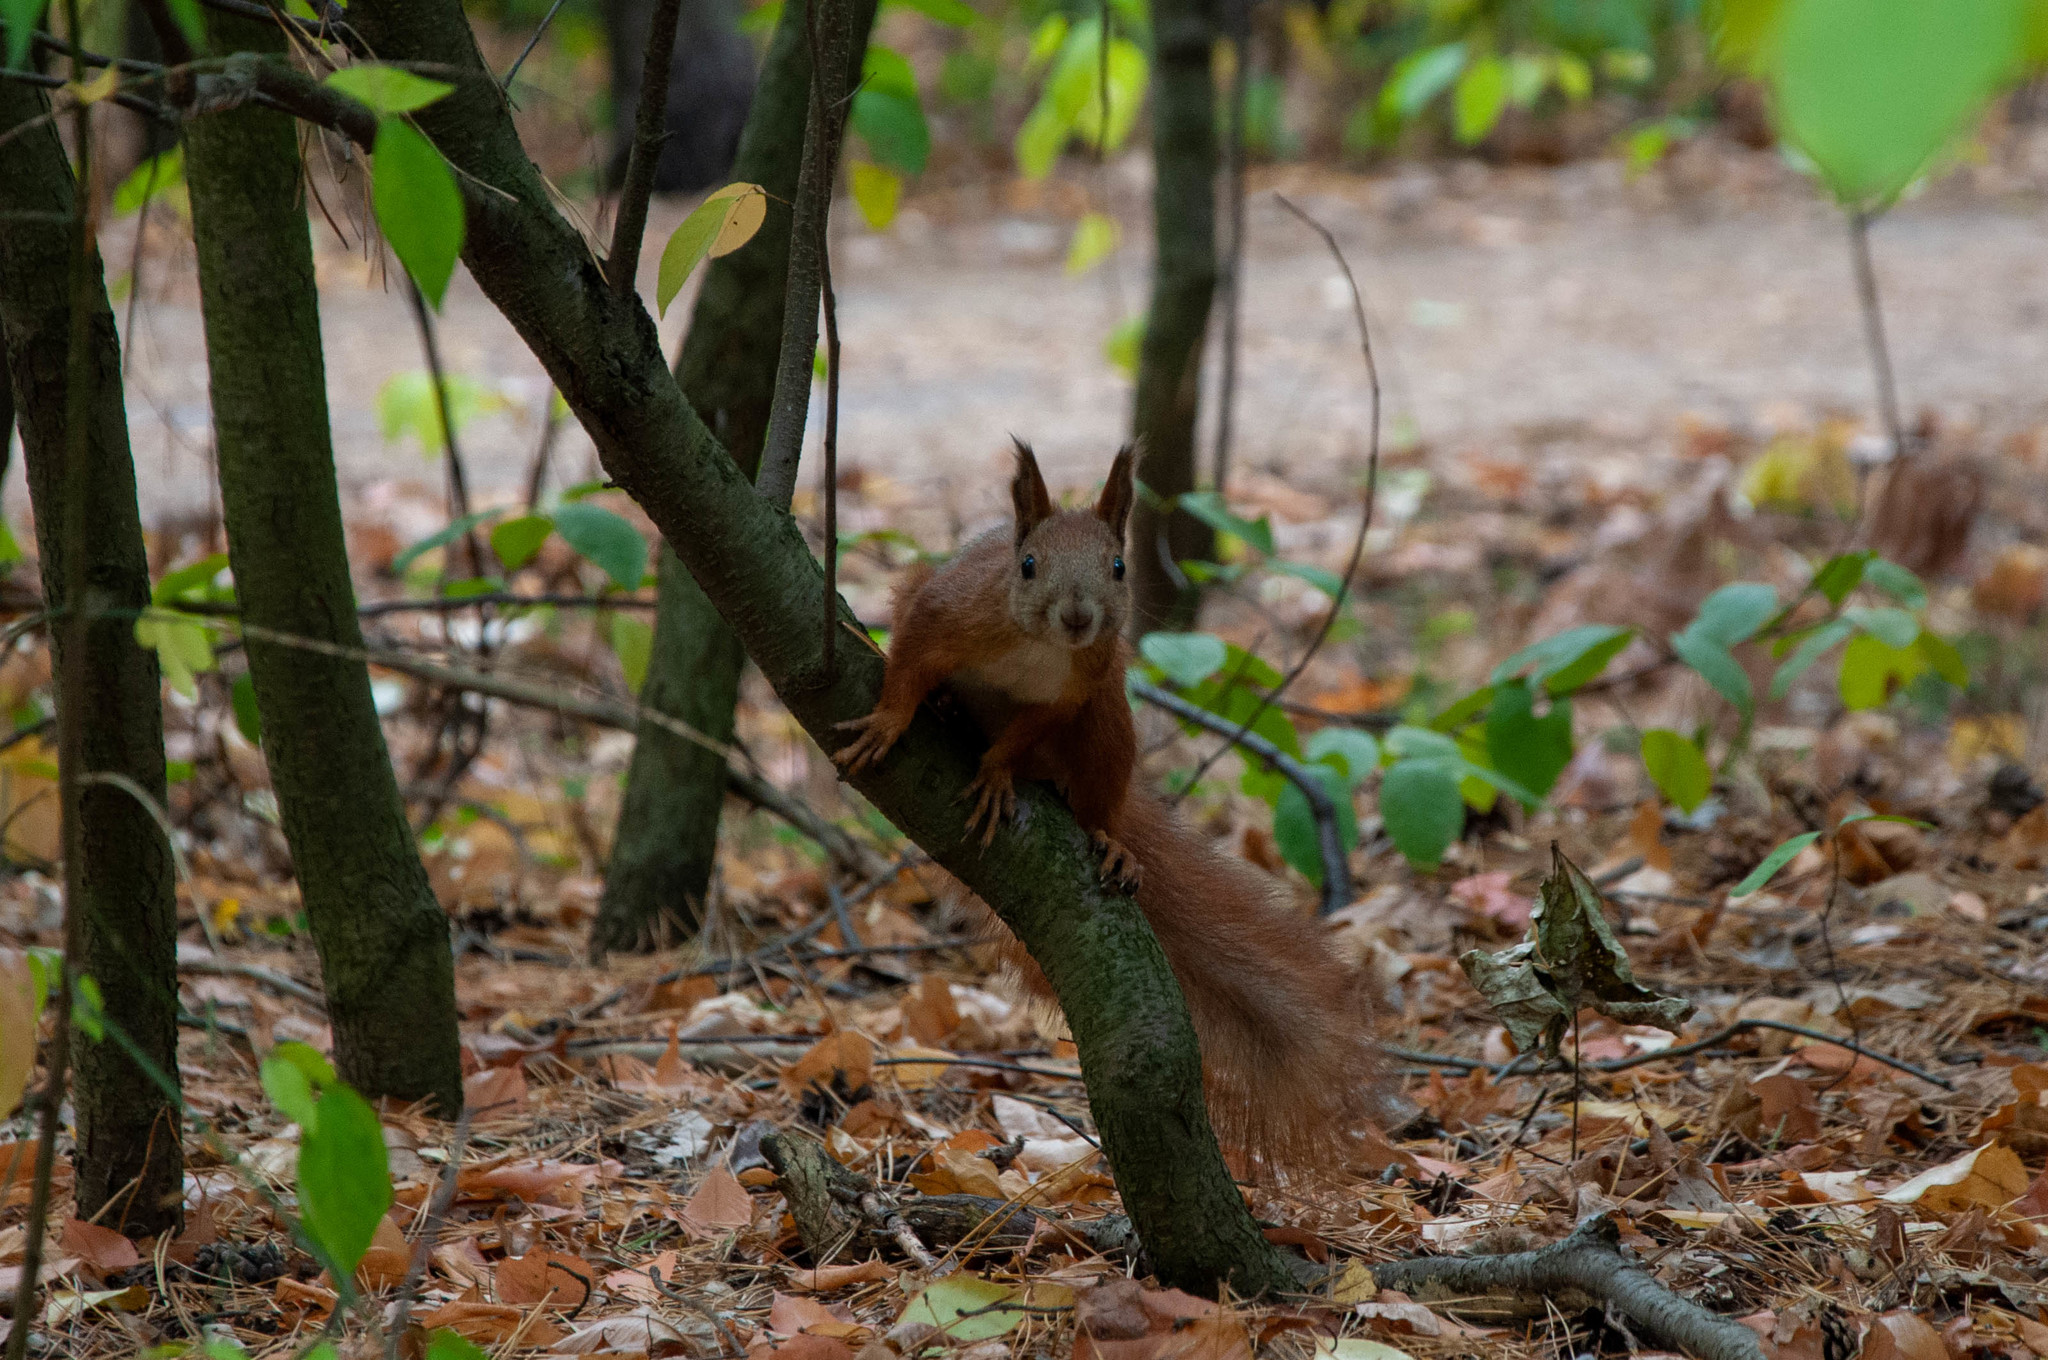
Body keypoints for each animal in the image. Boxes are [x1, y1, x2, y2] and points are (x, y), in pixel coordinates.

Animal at [835, 440, 1392, 1171]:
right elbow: (907, 666)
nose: (1078, 616)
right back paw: (948, 708)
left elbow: (1023, 735)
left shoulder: (1074, 690)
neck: (1040, 644)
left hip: (1107, 720)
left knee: (1093, 794)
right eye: (1028, 564)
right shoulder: (942, 612)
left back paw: (1106, 838)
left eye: (1119, 566)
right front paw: (891, 720)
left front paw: (996, 773)